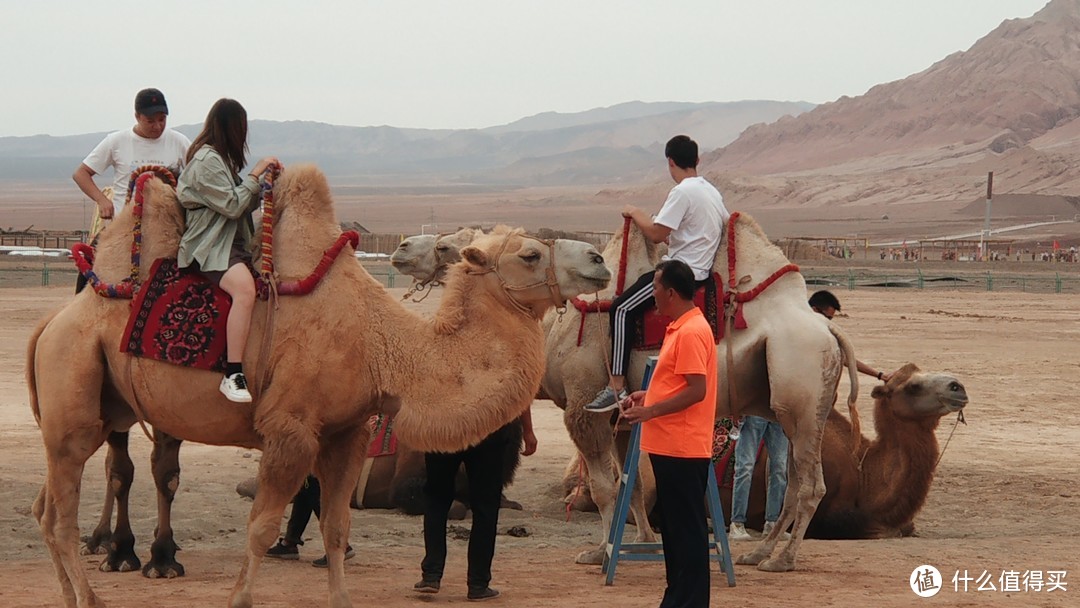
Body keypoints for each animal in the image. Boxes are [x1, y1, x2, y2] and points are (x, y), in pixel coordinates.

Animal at [27, 163, 617, 608]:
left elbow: (336, 528)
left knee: (46, 510)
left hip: (101, 408)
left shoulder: (347, 432)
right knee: (60, 514)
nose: (597, 261)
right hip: (72, 386)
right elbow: (262, 527)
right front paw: (240, 598)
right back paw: (97, 592)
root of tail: (51, 323)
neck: (381, 345)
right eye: (530, 255)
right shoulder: (289, 429)